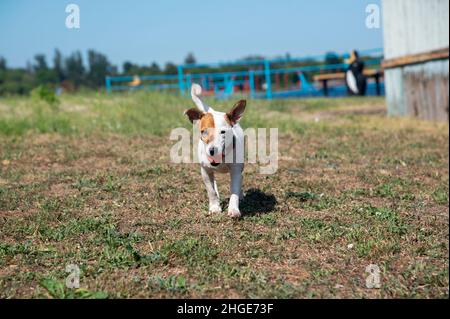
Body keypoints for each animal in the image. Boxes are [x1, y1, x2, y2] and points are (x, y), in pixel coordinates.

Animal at [184, 84, 246, 219]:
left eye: (223, 132)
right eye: (204, 132)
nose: (212, 150)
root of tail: (213, 111)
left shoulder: (235, 170)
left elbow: (234, 190)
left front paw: (234, 209)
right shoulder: (205, 171)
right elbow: (211, 190)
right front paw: (215, 207)